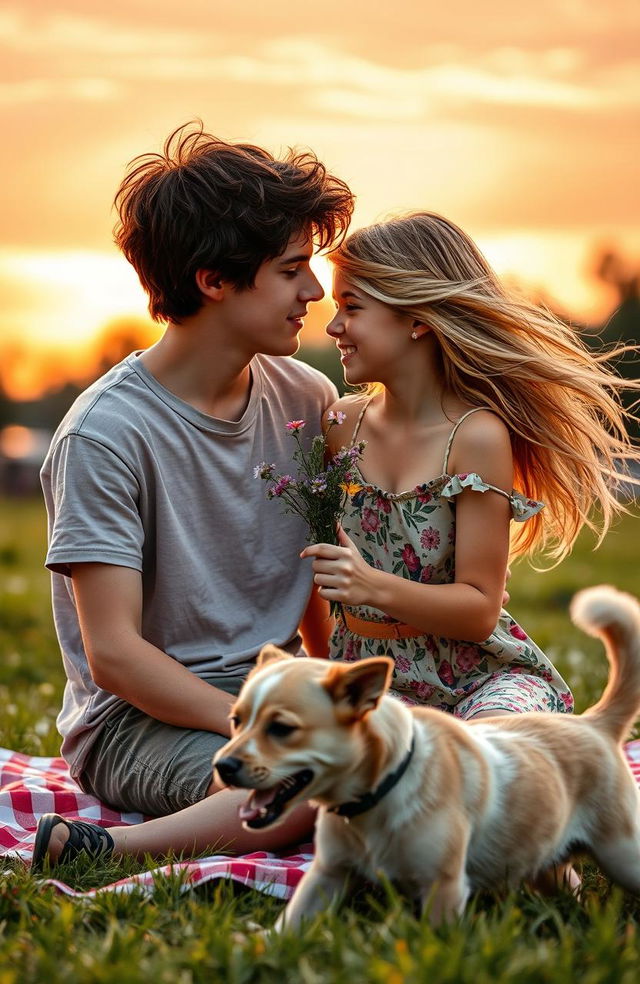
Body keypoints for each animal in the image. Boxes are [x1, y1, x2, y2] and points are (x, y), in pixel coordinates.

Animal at [214, 584, 640, 932]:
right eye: (236, 721)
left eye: (281, 728)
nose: (223, 766)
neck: (380, 789)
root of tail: (595, 724)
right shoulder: (326, 874)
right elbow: (291, 924)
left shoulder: (443, 887)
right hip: (544, 862)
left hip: (622, 852)